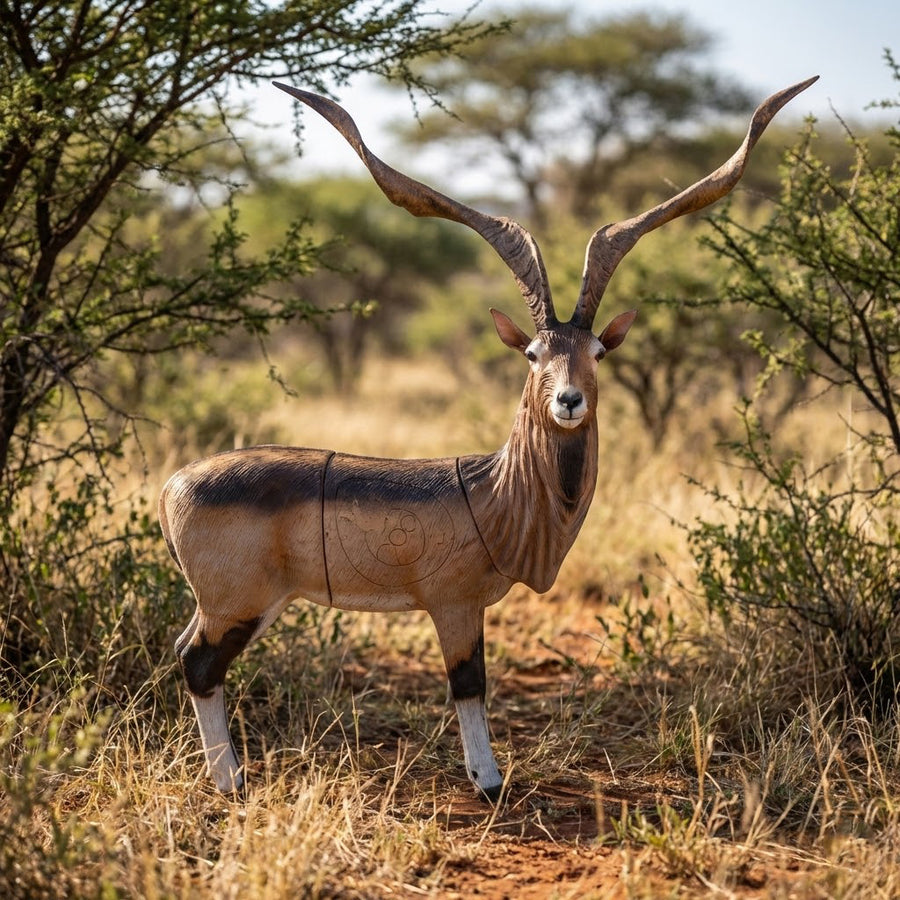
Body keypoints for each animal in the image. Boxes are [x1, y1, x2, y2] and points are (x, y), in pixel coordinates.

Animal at [159, 76, 817, 800]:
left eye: (596, 351)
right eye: (532, 353)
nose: (568, 400)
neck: (493, 490)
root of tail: (174, 485)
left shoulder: (466, 606)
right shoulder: (452, 605)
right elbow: (468, 684)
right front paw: (490, 781)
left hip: (244, 605)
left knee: (184, 652)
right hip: (238, 604)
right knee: (198, 664)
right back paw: (230, 781)